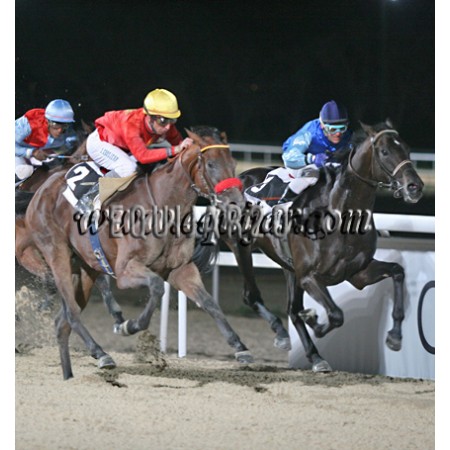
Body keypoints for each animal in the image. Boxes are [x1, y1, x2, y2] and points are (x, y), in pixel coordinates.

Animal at [15, 129, 252, 380]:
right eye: (211, 164)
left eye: (233, 163)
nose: (237, 202)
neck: (163, 209)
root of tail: (40, 191)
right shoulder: (126, 270)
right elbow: (156, 287)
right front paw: (128, 326)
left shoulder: (181, 269)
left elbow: (209, 302)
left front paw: (240, 347)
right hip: (56, 253)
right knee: (71, 312)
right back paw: (101, 354)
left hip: (85, 268)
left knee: (62, 321)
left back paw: (73, 371)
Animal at [210, 120, 424, 372]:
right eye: (384, 151)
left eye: (408, 149)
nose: (414, 187)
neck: (340, 216)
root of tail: (238, 179)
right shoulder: (309, 276)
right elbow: (335, 314)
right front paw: (315, 321)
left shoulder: (358, 273)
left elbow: (397, 271)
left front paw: (395, 336)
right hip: (240, 246)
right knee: (251, 296)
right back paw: (274, 337)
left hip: (288, 266)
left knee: (292, 309)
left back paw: (314, 355)